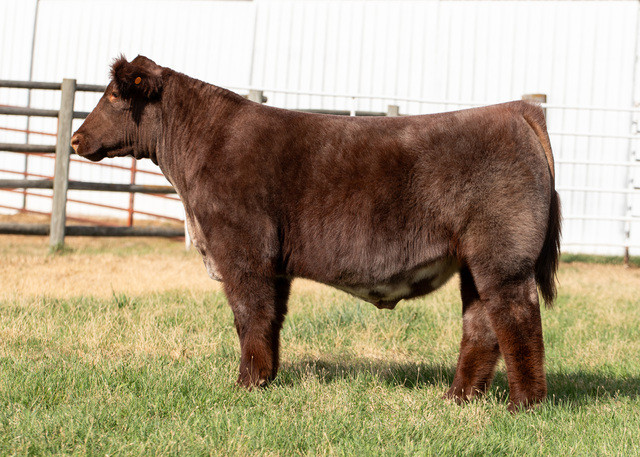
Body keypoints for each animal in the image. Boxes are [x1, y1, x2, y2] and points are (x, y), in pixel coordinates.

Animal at [71, 55, 561, 411]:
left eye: (114, 96)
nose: (75, 140)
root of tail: (518, 110)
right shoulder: (272, 263)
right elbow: (270, 318)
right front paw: (265, 379)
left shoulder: (243, 250)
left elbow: (250, 314)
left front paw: (245, 384)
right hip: (475, 264)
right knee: (481, 326)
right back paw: (458, 398)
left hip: (503, 258)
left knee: (517, 319)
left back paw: (523, 405)